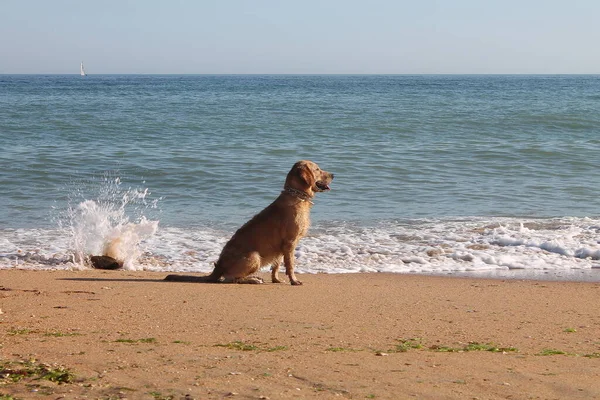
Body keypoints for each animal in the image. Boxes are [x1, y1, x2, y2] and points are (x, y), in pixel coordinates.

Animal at [164, 159, 332, 284]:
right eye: (317, 169)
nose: (333, 174)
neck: (296, 195)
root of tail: (217, 268)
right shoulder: (290, 242)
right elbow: (290, 265)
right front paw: (294, 280)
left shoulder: (281, 246)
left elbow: (276, 265)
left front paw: (276, 279)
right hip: (254, 256)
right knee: (230, 278)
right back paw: (253, 279)